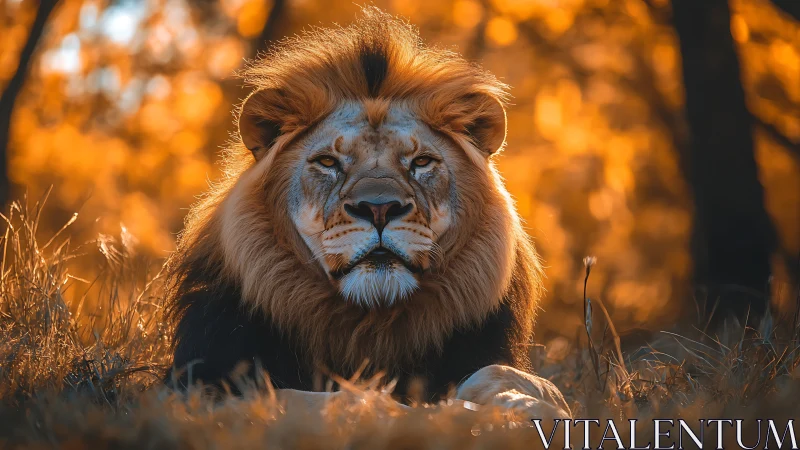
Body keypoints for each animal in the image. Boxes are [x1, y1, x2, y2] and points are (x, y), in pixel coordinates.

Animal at [166, 7, 570, 420]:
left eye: (421, 162)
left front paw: (524, 406)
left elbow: (514, 378)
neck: (370, 323)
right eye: (328, 162)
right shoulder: (200, 385)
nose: (379, 208)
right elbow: (302, 397)